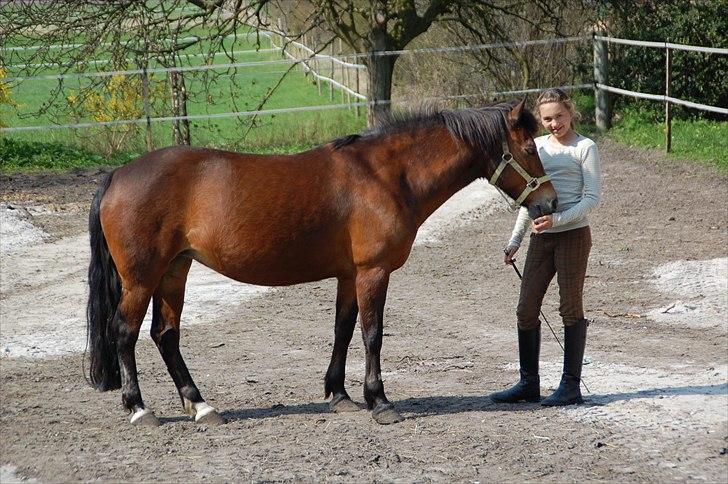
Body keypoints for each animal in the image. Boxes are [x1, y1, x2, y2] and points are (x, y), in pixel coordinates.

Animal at [88, 100, 560, 426]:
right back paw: (139, 409)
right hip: (142, 279)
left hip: (174, 271)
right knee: (124, 332)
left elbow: (343, 330)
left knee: (165, 335)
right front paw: (379, 401)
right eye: (530, 148)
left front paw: (339, 395)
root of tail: (118, 174)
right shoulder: (372, 272)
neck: (385, 176)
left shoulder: (349, 275)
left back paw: (201, 406)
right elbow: (372, 335)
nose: (550, 202)